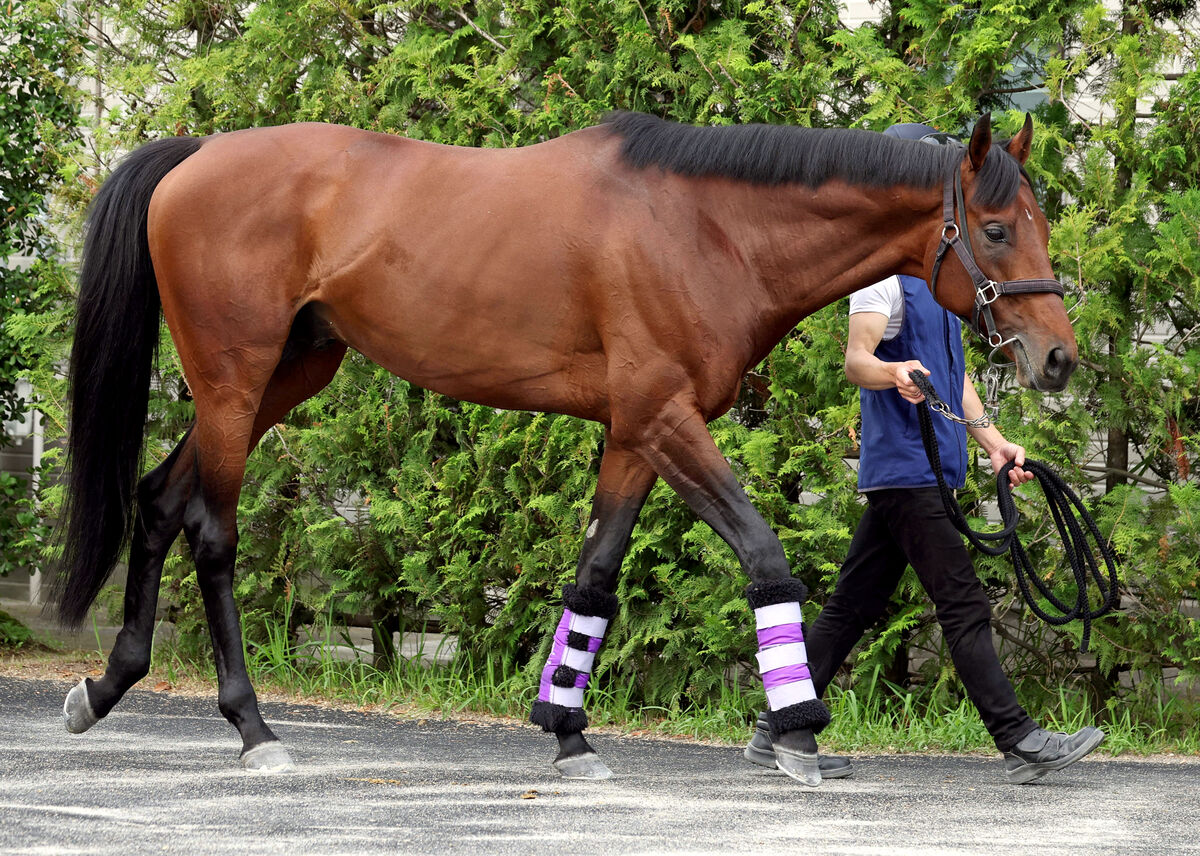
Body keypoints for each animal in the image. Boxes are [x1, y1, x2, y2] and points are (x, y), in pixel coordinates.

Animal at [54, 110, 1080, 782]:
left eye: (1040, 222)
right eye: (995, 229)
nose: (1059, 358)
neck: (705, 228)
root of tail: (198, 154)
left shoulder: (634, 432)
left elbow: (593, 580)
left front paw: (567, 730)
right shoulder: (667, 418)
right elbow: (763, 555)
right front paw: (797, 730)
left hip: (285, 375)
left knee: (158, 499)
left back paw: (106, 688)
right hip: (235, 379)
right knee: (212, 532)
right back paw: (254, 728)